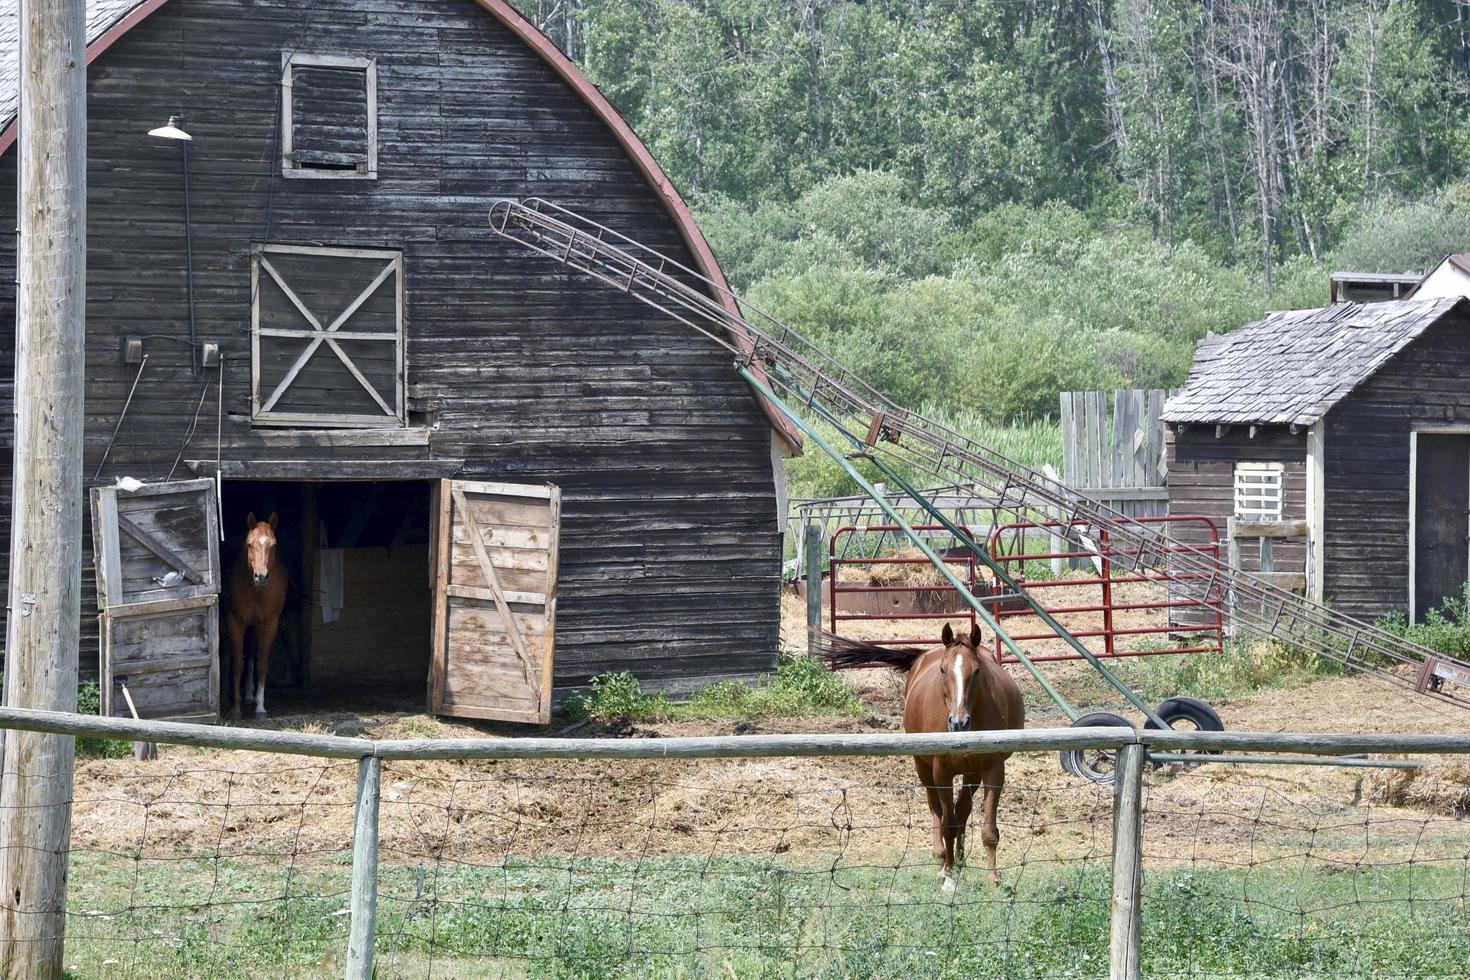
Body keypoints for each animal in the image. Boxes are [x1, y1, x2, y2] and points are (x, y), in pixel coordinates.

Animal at [220, 514, 286, 719]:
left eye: (273, 545)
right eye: (250, 544)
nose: (261, 576)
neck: (257, 591)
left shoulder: (269, 623)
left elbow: (262, 663)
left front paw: (260, 706)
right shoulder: (234, 621)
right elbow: (237, 663)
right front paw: (235, 708)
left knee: (250, 653)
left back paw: (250, 695)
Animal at [817, 625, 1023, 893]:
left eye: (977, 671)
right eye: (943, 669)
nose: (958, 723)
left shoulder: (993, 768)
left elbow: (988, 829)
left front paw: (994, 879)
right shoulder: (941, 770)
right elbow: (947, 823)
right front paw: (947, 876)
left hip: (971, 773)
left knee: (962, 811)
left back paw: (959, 861)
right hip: (923, 767)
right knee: (937, 808)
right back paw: (942, 859)